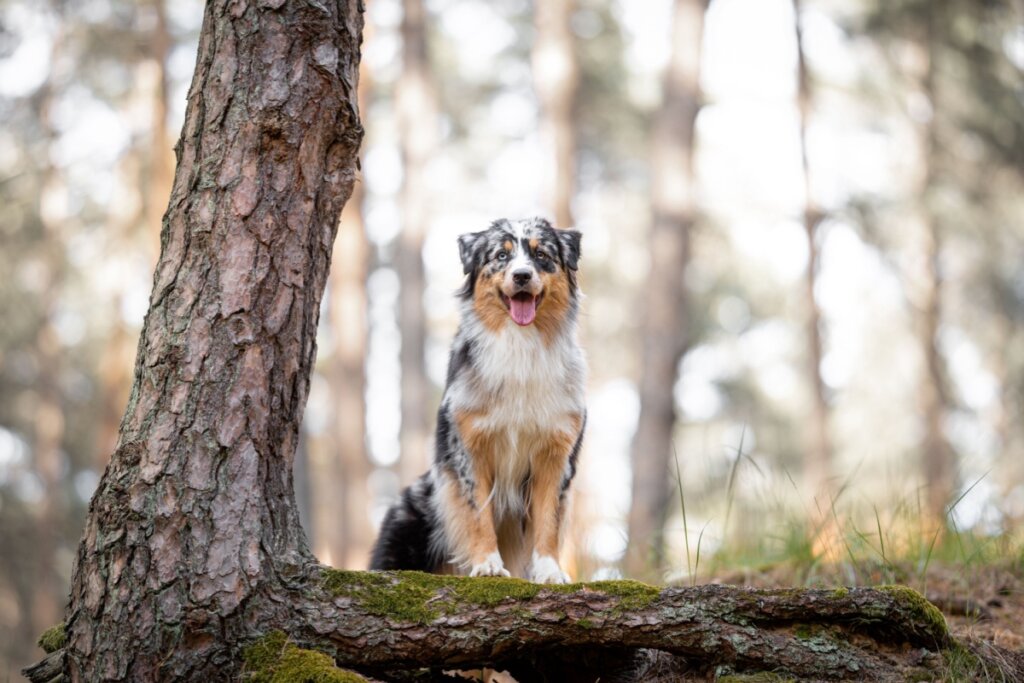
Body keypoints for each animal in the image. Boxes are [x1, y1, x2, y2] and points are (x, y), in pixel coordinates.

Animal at [372, 216, 589, 585]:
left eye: (541, 255)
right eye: (501, 256)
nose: (522, 275)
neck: (521, 344)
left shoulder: (556, 453)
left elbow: (549, 518)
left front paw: (549, 571)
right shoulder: (469, 449)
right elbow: (478, 513)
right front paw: (487, 564)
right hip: (411, 513)